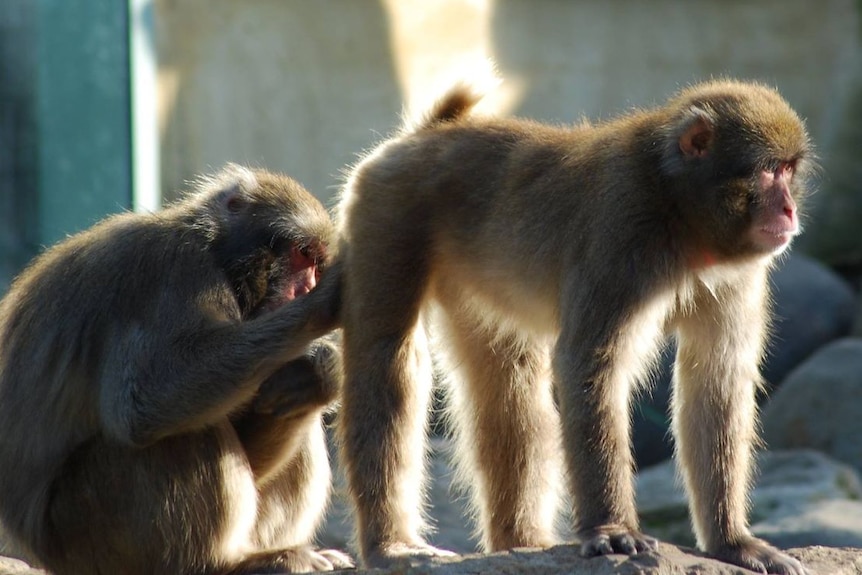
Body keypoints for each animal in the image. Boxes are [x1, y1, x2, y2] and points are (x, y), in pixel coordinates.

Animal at [0, 164, 354, 572]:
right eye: (302, 254)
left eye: (316, 263)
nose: (307, 287)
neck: (217, 256)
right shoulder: (172, 271)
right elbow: (147, 400)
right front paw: (322, 306)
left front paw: (320, 371)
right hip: (87, 530)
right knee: (177, 434)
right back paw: (221, 562)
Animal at [340, 77, 816, 575]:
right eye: (769, 172)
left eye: (789, 170)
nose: (788, 210)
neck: (678, 211)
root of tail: (429, 133)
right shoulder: (621, 232)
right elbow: (588, 365)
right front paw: (613, 530)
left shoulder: (737, 275)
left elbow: (716, 381)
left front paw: (732, 542)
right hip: (387, 210)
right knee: (387, 359)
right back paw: (391, 545)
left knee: (506, 380)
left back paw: (520, 541)